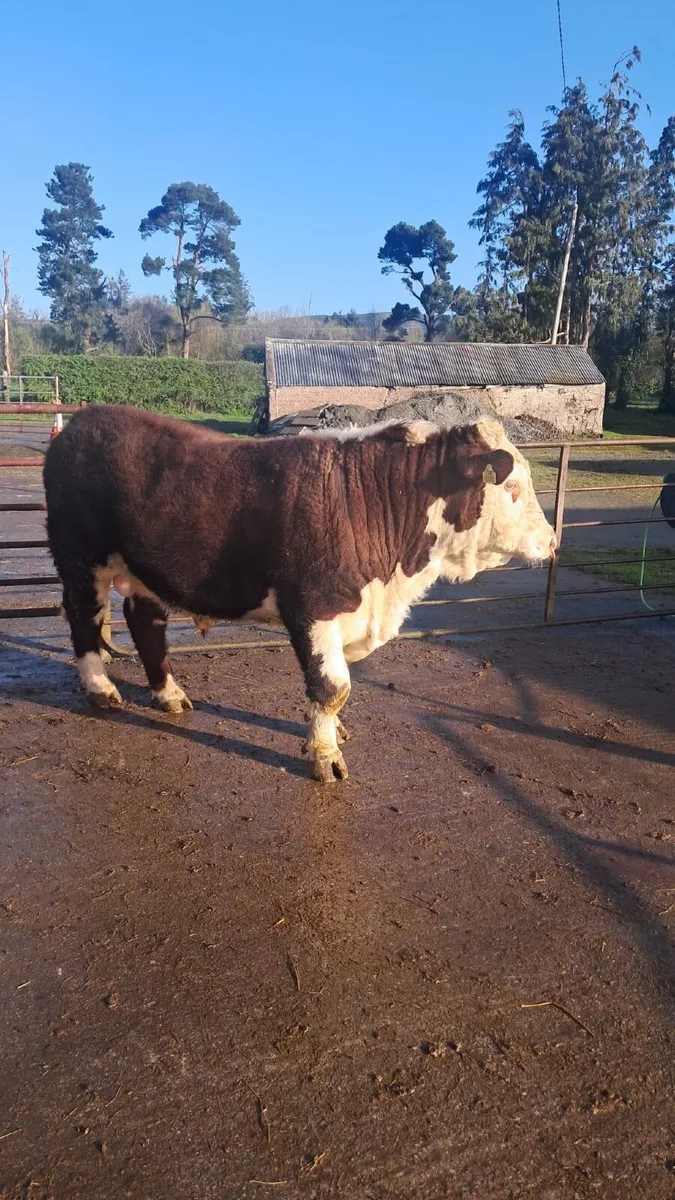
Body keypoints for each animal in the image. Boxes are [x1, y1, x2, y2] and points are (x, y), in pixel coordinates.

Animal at [43, 406, 556, 783]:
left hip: (143, 569)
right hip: (80, 558)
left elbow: (335, 685)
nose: (552, 541)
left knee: (145, 624)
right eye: (513, 485)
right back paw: (101, 689)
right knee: (84, 617)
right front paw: (325, 757)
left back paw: (168, 694)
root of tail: (84, 420)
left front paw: (330, 732)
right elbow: (333, 685)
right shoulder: (314, 606)